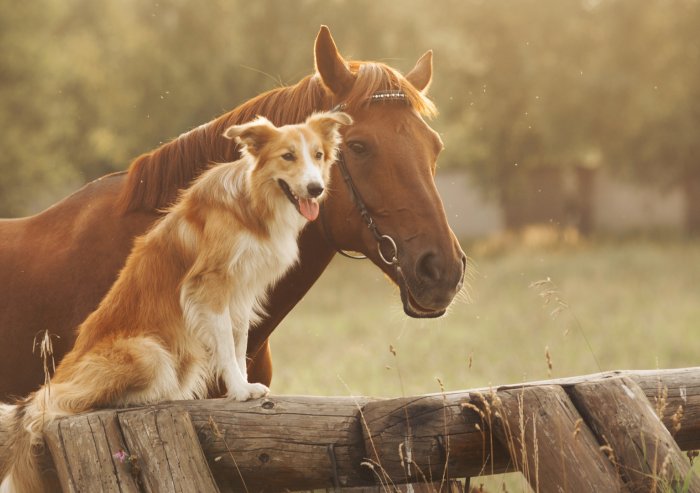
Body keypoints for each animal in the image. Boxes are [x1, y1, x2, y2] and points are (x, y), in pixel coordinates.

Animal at [0, 109, 350, 490]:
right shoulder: (210, 286)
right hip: (149, 353)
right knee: (54, 404)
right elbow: (226, 344)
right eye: (288, 156)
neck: (252, 204)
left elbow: (239, 342)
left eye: (318, 155)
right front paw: (240, 390)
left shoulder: (242, 291)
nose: (316, 189)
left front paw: (241, 388)